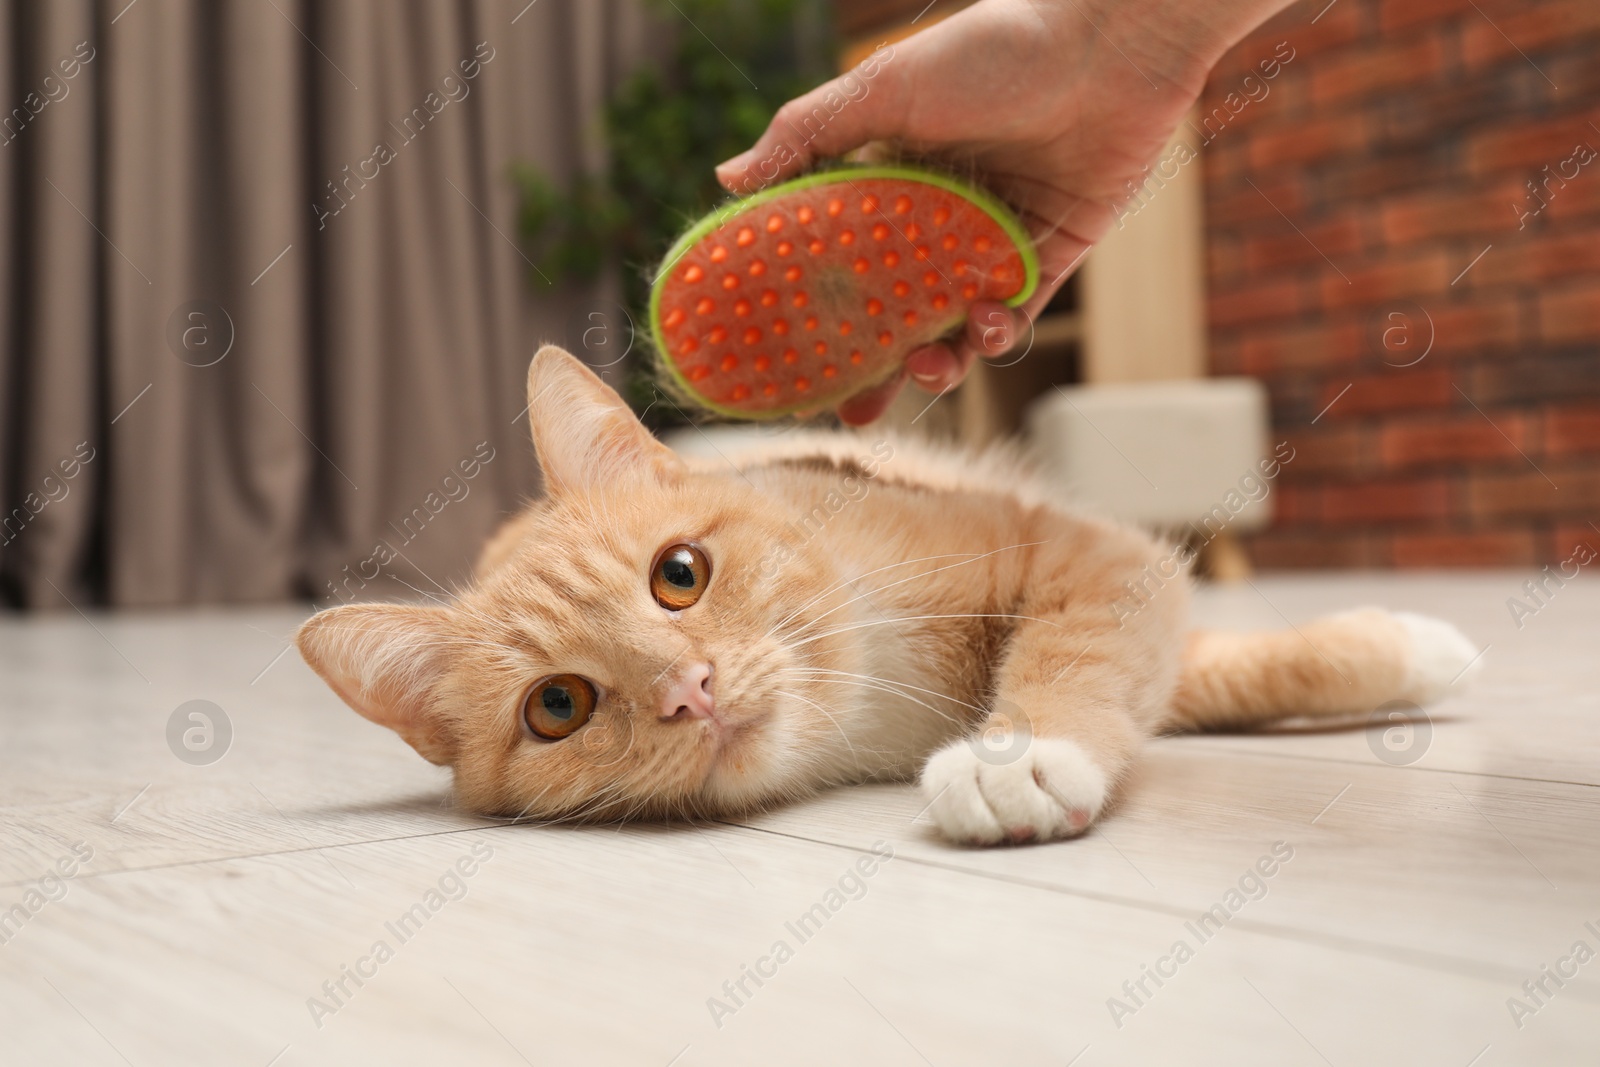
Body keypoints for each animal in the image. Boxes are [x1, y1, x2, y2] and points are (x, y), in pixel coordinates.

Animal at [297, 347, 1472, 844]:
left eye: (679, 572)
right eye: (557, 707)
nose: (689, 688)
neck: (873, 709)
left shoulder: (1093, 556)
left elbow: (1101, 652)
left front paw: (1022, 750)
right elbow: (1184, 675)